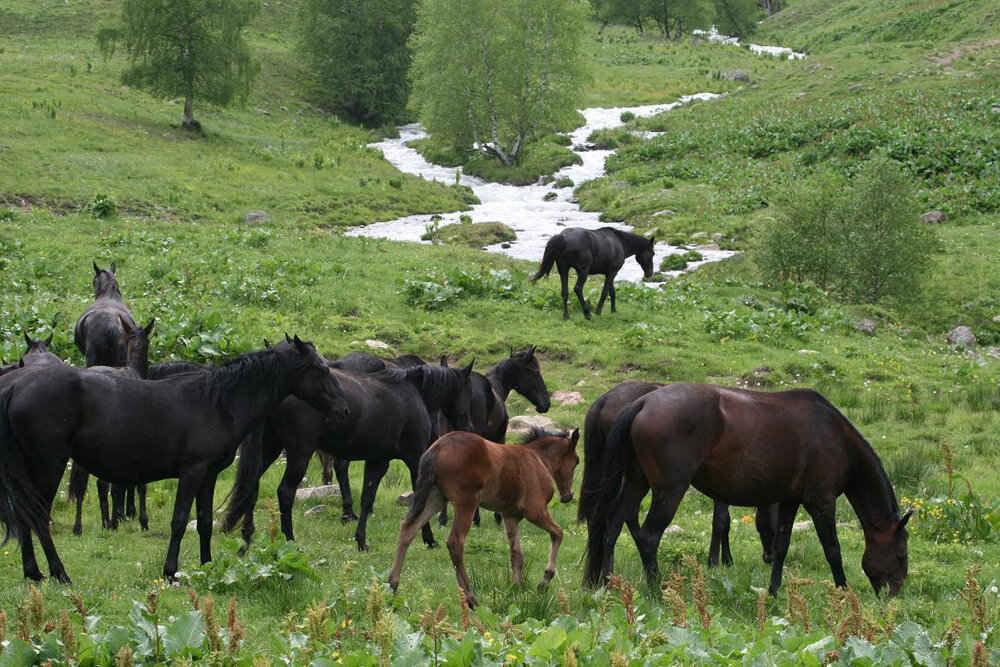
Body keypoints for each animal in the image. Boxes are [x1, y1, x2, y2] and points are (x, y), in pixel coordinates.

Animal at [0, 336, 348, 580]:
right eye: (323, 369)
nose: (344, 410)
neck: (217, 404)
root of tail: (16, 387)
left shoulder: (209, 475)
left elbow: (205, 522)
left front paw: (207, 566)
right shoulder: (192, 472)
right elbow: (180, 520)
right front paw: (170, 572)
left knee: (24, 516)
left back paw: (34, 572)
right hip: (49, 465)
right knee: (37, 516)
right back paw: (59, 573)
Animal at [225, 360, 474, 552]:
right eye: (467, 392)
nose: (469, 427)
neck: (412, 392)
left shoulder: (378, 460)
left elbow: (367, 497)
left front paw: (361, 540)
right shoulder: (414, 459)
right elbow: (419, 500)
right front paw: (429, 539)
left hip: (269, 449)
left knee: (251, 486)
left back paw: (246, 537)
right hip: (299, 452)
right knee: (285, 492)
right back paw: (290, 541)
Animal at [388, 428, 580, 612]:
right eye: (577, 461)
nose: (568, 496)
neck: (538, 459)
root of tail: (437, 448)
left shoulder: (510, 516)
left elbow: (517, 554)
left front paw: (516, 591)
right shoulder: (536, 511)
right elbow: (558, 533)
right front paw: (545, 580)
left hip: (435, 498)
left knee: (408, 529)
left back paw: (392, 586)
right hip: (466, 502)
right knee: (455, 542)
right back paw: (471, 599)